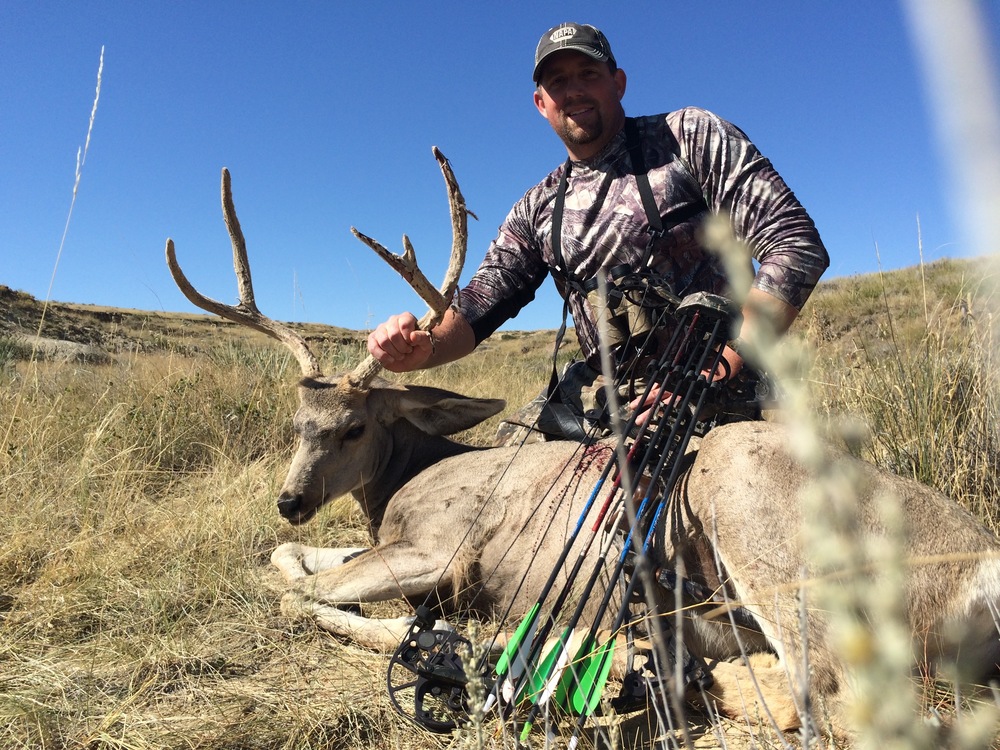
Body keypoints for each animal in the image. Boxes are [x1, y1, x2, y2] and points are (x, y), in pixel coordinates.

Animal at [166, 153, 1000, 739]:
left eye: (354, 426)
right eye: (295, 424)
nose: (291, 498)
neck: (413, 476)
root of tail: (980, 572)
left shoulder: (439, 549)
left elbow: (303, 593)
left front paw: (430, 636)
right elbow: (290, 561)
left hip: (767, 526)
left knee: (836, 696)